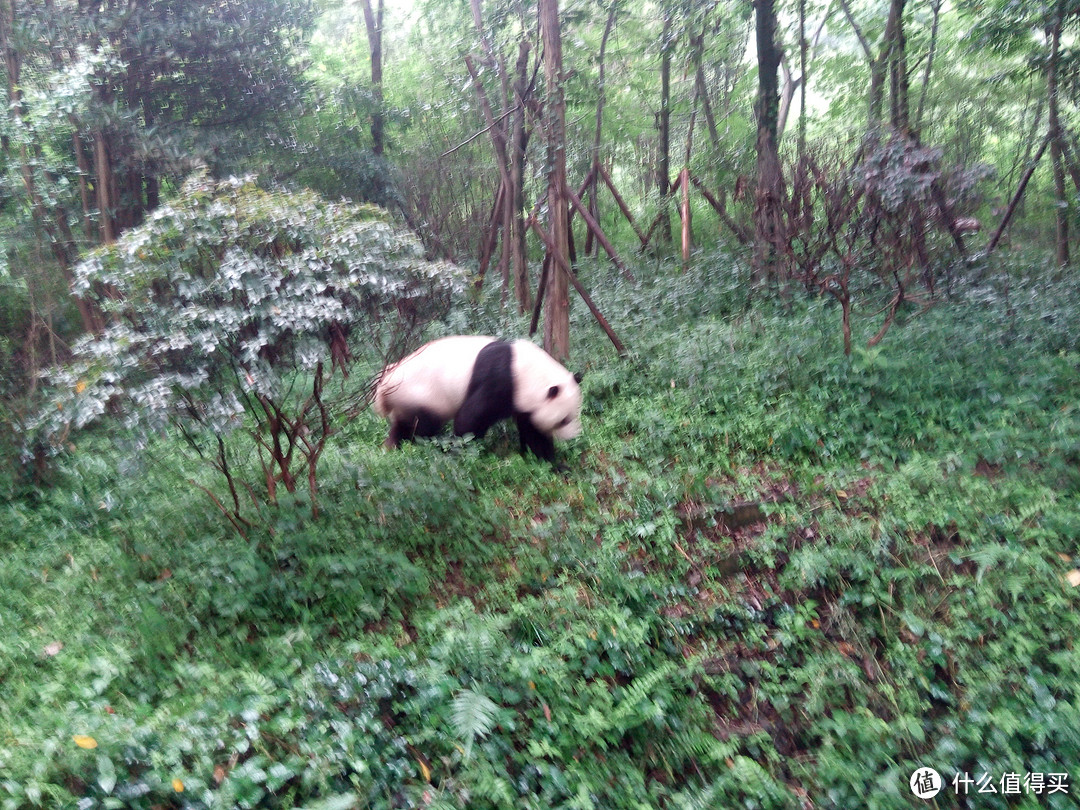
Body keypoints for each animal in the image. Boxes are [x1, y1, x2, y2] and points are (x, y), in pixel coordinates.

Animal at [375, 336, 587, 462]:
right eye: (564, 420)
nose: (573, 436)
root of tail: (385, 383)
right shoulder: (501, 381)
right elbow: (471, 418)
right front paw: (464, 448)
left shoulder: (523, 399)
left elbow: (532, 430)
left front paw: (552, 463)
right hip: (421, 394)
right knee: (422, 426)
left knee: (404, 424)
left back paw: (392, 447)